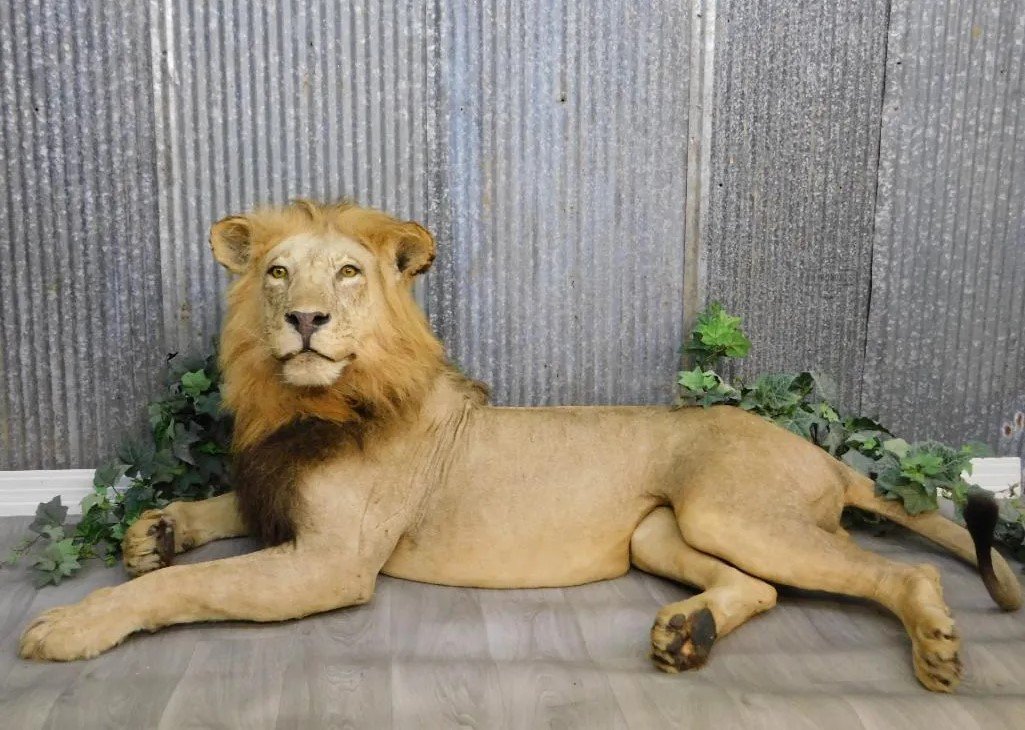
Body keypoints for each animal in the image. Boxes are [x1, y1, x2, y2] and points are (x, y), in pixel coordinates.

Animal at [19, 200, 1022, 693]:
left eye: (346, 272)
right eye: (275, 272)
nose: (304, 320)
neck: (314, 402)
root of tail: (819, 452)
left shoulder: (332, 563)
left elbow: (185, 590)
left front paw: (71, 625)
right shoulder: (284, 505)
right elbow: (217, 512)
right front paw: (155, 530)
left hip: (730, 509)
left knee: (898, 571)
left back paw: (936, 647)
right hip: (658, 533)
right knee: (760, 588)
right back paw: (685, 633)